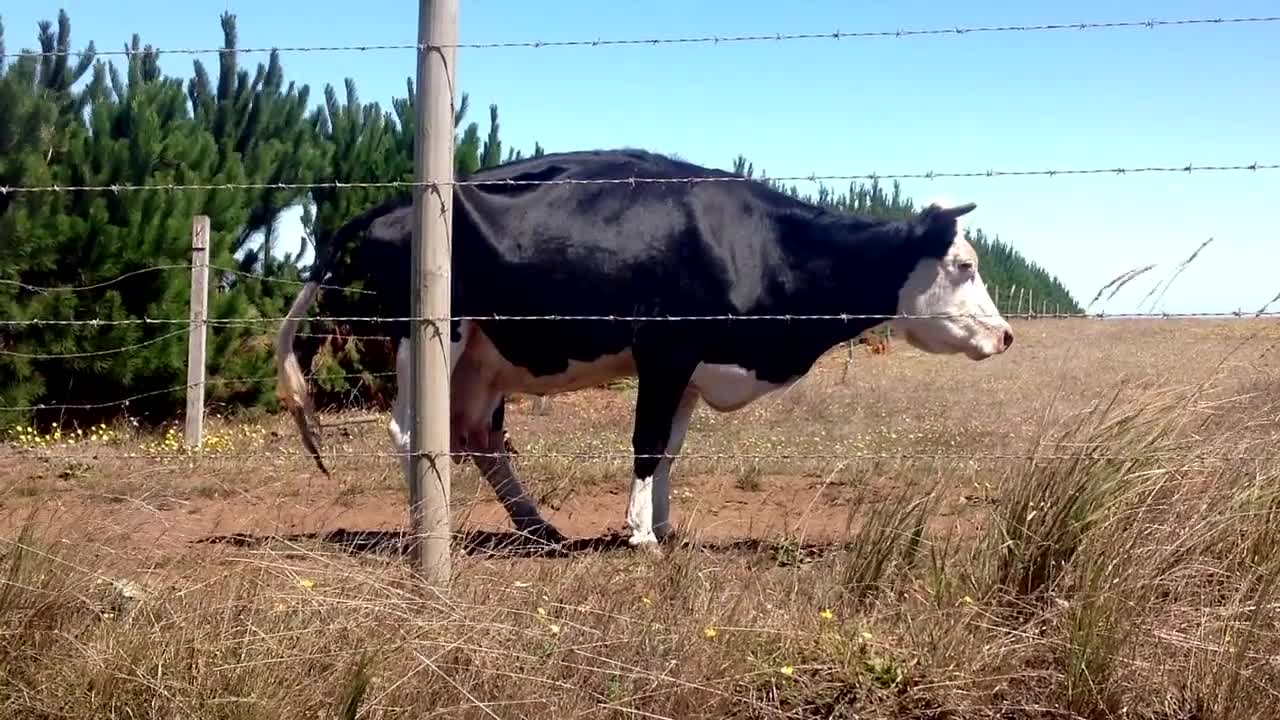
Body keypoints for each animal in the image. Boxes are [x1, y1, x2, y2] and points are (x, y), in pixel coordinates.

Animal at [275, 147, 1013, 548]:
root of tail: (392, 206)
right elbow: (647, 441)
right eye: (964, 266)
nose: (1006, 334)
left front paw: (664, 524)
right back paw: (433, 526)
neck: (753, 244)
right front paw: (638, 534)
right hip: (430, 338)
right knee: (412, 431)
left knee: (476, 436)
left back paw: (536, 525)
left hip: (485, 358)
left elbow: (672, 449)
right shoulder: (665, 352)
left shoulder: (690, 368)